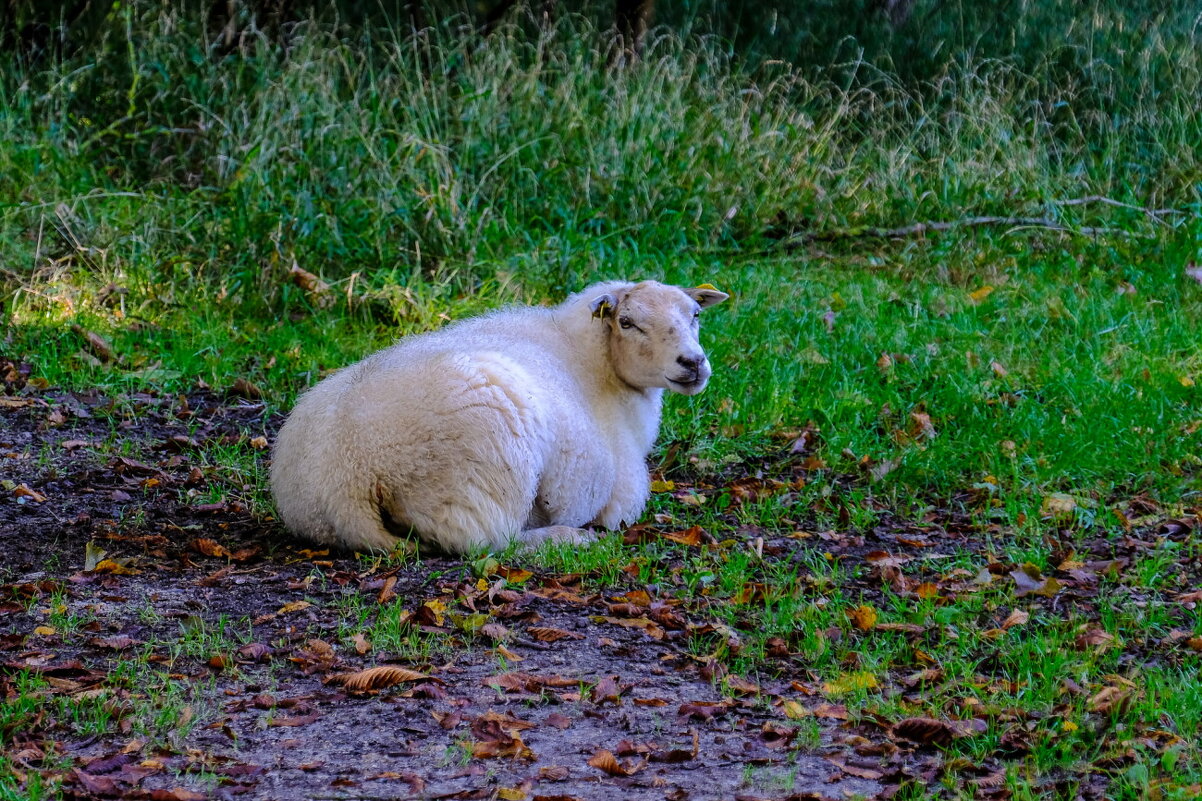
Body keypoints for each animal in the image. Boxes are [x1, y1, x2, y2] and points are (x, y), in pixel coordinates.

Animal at [268, 277, 726, 553]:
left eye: (695, 315)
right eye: (628, 322)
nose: (693, 363)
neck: (595, 361)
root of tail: (348, 481)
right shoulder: (622, 496)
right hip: (480, 479)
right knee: (490, 542)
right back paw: (566, 537)